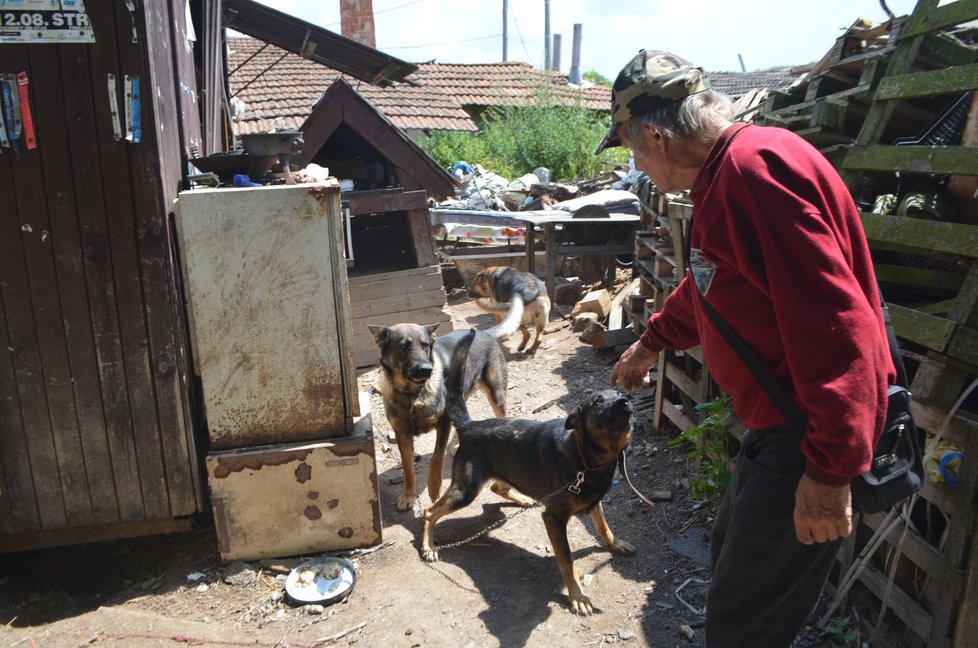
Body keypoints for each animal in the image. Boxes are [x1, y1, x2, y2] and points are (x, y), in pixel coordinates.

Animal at [368, 322, 510, 512]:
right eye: (404, 346)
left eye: (426, 345)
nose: (426, 370)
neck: (413, 395)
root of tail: (483, 333)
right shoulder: (402, 433)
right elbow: (408, 468)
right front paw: (408, 496)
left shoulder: (443, 424)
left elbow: (436, 458)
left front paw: (434, 488)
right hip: (460, 392)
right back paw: (457, 444)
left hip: (496, 397)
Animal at [418, 388, 632, 616]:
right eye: (598, 401)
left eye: (619, 393)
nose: (624, 401)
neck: (585, 458)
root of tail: (469, 426)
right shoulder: (553, 518)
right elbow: (568, 561)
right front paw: (577, 596)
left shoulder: (593, 501)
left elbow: (603, 526)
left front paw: (615, 544)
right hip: (465, 492)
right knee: (429, 511)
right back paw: (428, 546)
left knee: (496, 488)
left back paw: (523, 500)